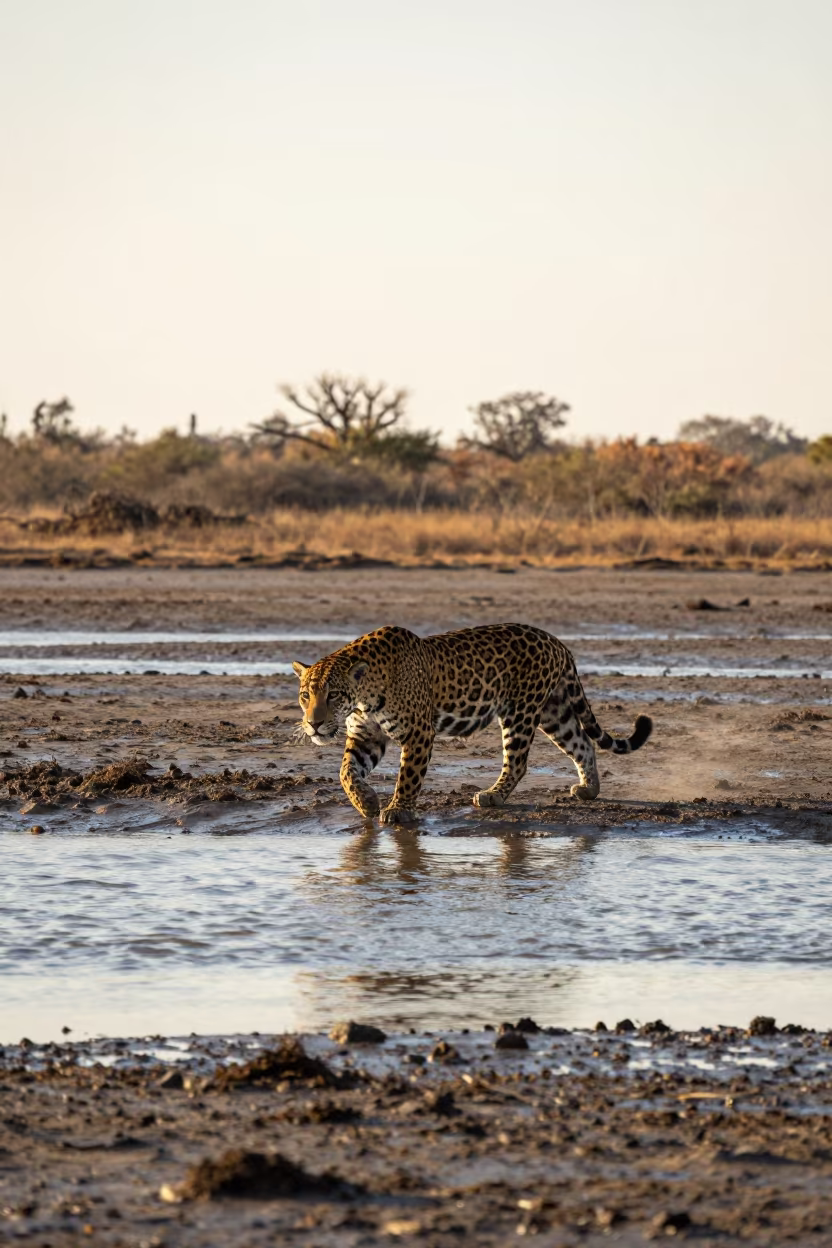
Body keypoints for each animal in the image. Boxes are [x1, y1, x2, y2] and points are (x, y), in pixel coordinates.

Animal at [292, 622, 652, 825]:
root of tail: (557, 642)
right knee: (582, 743)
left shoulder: (419, 732)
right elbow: (346, 771)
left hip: (520, 711)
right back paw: (589, 789)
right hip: (555, 711)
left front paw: (398, 810)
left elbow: (408, 776)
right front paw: (365, 802)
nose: (313, 725)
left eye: (333, 695)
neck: (363, 695)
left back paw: (492, 795)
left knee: (518, 762)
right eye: (305, 695)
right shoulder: (366, 735)